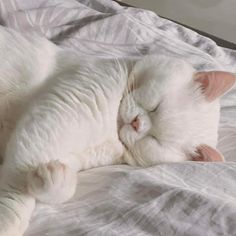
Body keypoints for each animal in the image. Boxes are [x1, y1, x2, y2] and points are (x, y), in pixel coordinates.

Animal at [0, 25, 234, 236]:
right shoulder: (51, 121)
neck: (111, 131)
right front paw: (7, 223)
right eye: (156, 107)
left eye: (155, 139)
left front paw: (52, 177)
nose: (137, 124)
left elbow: (57, 186)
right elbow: (18, 184)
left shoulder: (74, 153)